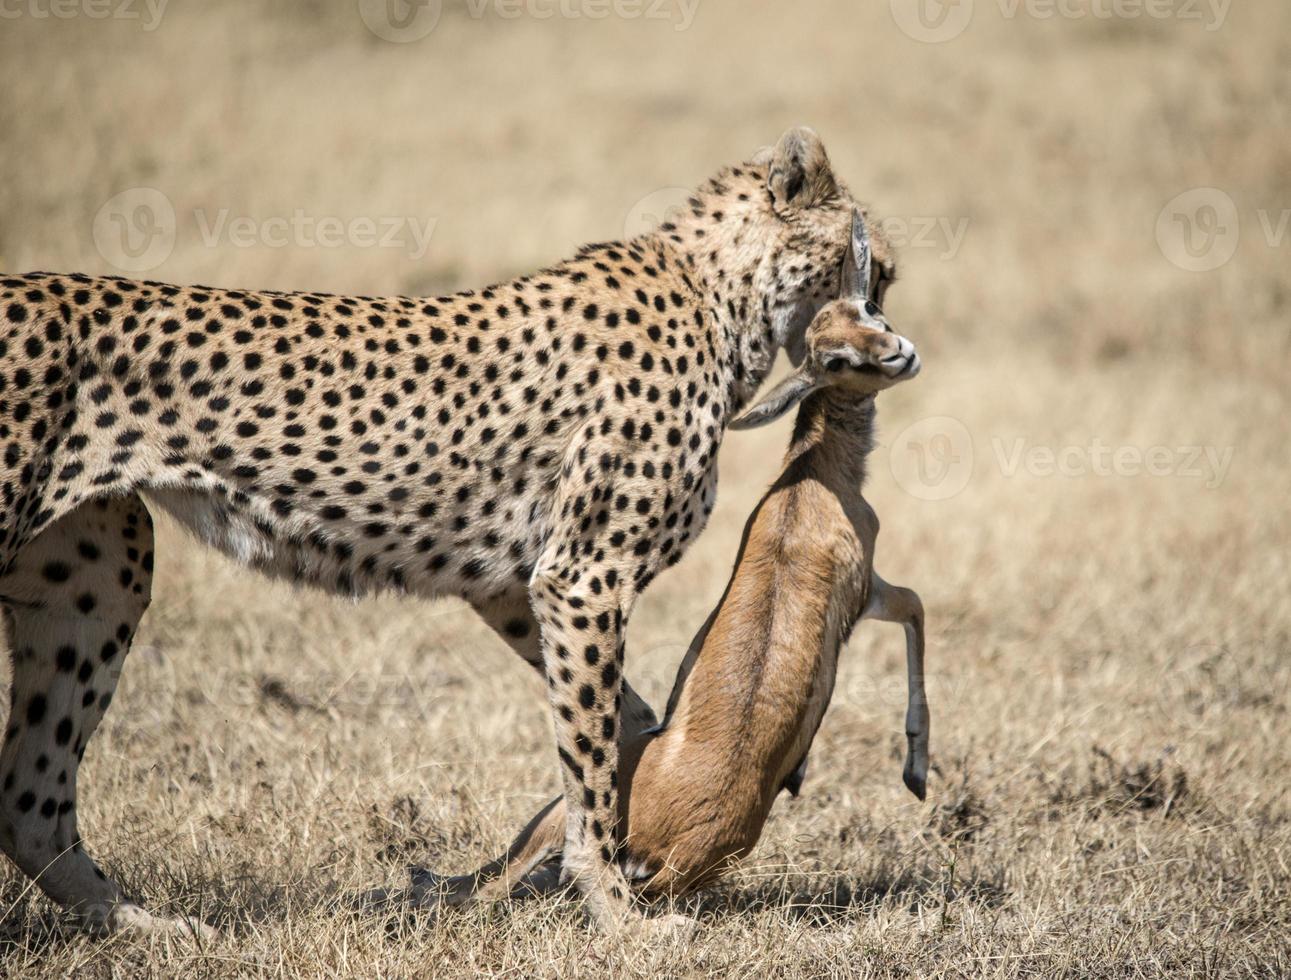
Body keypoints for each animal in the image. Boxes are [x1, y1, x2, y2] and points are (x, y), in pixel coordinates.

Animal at [0, 126, 893, 939]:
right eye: (874, 263)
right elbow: (593, 759)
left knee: (29, 794)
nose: (886, 318)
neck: (719, 300)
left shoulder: (515, 584)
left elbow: (623, 730)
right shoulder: (582, 576)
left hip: (101, 569)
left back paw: (142, 926)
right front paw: (616, 912)